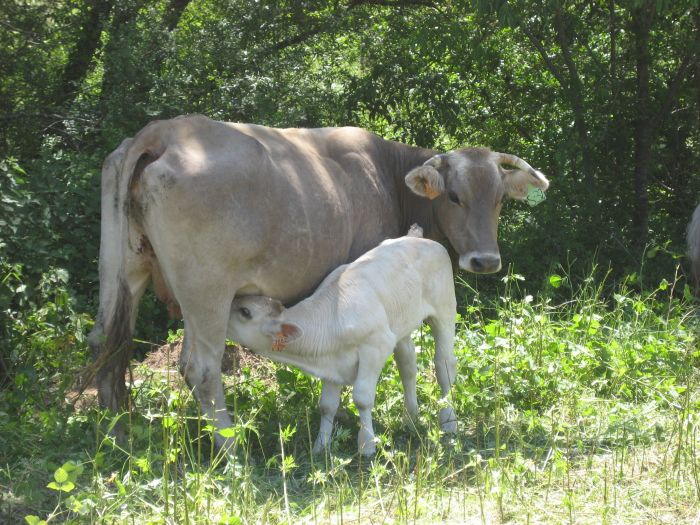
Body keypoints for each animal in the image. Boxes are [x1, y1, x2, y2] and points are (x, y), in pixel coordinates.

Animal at [228, 229, 460, 454]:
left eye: (245, 311)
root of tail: (419, 239)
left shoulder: (377, 345)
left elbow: (362, 398)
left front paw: (367, 445)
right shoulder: (331, 362)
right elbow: (327, 405)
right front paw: (321, 446)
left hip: (445, 309)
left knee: (444, 365)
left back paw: (449, 420)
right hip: (402, 323)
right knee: (408, 366)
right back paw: (410, 417)